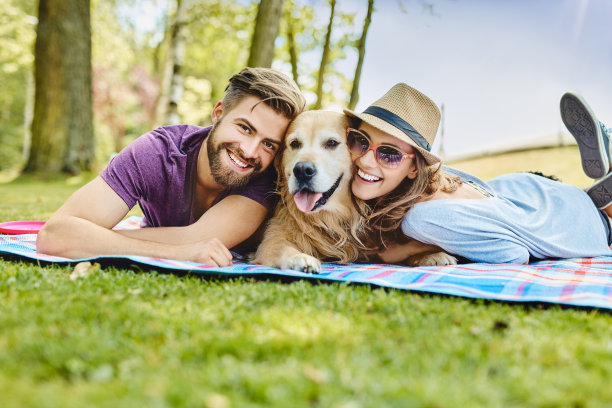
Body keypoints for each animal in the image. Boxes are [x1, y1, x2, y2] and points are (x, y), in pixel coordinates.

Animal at [251, 110, 456, 272]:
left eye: (331, 143)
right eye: (294, 144)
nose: (302, 170)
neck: (330, 218)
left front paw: (431, 255)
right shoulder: (272, 239)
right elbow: (282, 248)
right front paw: (299, 258)